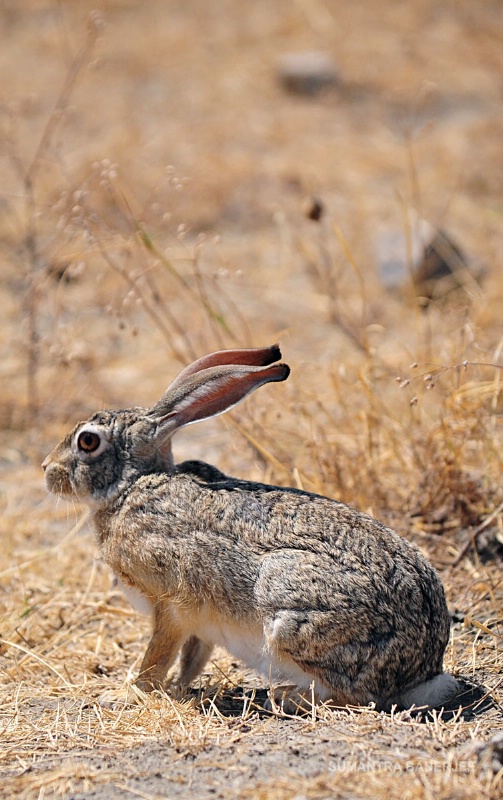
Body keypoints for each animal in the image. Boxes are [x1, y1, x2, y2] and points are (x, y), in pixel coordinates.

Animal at [44, 346, 460, 712]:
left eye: (87, 441)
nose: (47, 470)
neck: (131, 485)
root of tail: (421, 671)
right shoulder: (198, 623)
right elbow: (192, 658)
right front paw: (177, 689)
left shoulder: (170, 602)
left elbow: (156, 656)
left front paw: (124, 695)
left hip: (287, 606)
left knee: (353, 695)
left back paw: (284, 698)